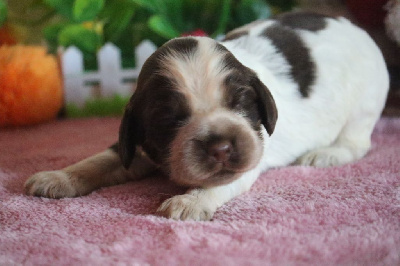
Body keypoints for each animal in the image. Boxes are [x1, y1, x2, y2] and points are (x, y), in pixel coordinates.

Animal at [25, 11, 388, 220]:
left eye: (241, 103)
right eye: (169, 119)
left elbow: (219, 183)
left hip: (365, 103)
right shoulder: (137, 145)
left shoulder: (250, 153)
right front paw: (57, 177)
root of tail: (358, 28)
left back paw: (325, 155)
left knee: (357, 142)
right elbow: (99, 161)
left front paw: (190, 202)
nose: (222, 148)